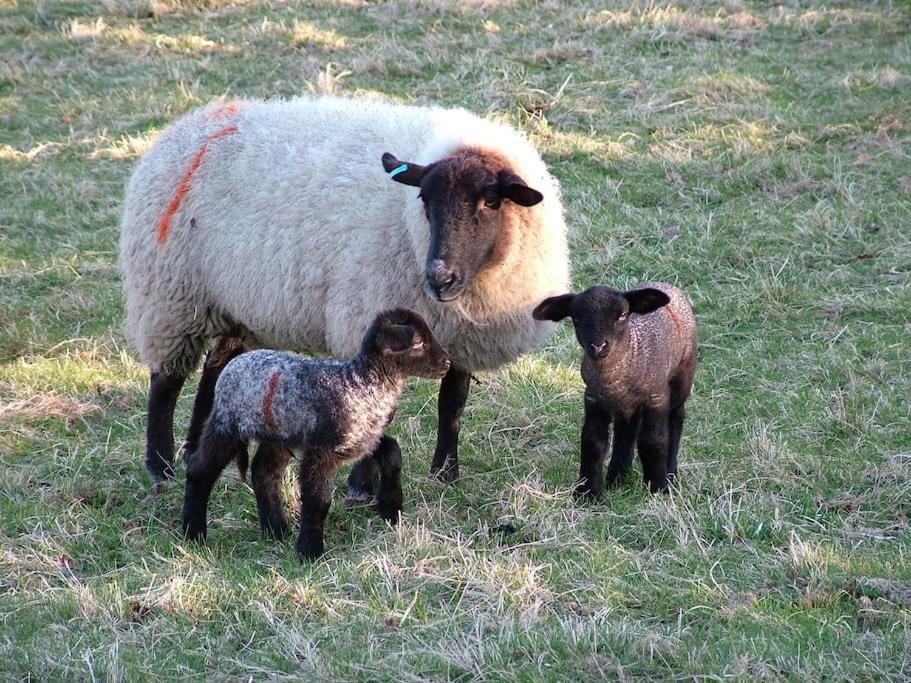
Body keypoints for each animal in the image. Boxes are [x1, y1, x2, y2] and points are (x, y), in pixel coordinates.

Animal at [117, 95, 568, 486]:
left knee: (217, 371)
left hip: (235, 304)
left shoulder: (459, 337)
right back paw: (160, 467)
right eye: (424, 198)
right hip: (171, 296)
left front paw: (445, 474)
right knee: (166, 381)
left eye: (491, 200)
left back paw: (195, 450)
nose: (440, 278)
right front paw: (361, 484)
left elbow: (452, 404)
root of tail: (189, 124)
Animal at [180, 310, 450, 560]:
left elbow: (393, 451)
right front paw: (310, 550)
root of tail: (234, 363)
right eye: (418, 342)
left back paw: (276, 530)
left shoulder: (364, 438)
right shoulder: (320, 449)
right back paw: (193, 533)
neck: (360, 384)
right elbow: (318, 501)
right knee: (200, 470)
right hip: (226, 425)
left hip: (278, 435)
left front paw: (391, 509)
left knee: (263, 472)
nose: (447, 364)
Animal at [536, 284, 700, 496]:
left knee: (675, 419)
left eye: (622, 315)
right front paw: (587, 493)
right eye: (576, 317)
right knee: (626, 432)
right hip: (627, 407)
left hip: (682, 377)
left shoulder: (656, 399)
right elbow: (592, 442)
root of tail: (667, 285)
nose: (598, 346)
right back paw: (618, 478)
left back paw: (670, 475)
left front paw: (657, 487)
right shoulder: (593, 400)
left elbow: (653, 441)